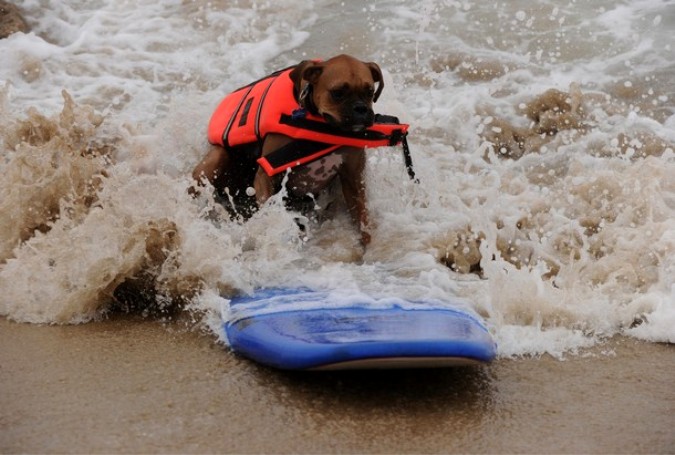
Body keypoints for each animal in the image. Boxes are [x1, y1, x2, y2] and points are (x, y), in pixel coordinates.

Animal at [193, 54, 388, 248]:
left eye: (370, 92)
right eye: (338, 92)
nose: (361, 108)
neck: (319, 126)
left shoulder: (353, 181)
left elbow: (362, 219)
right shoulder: (266, 176)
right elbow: (270, 210)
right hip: (213, 163)